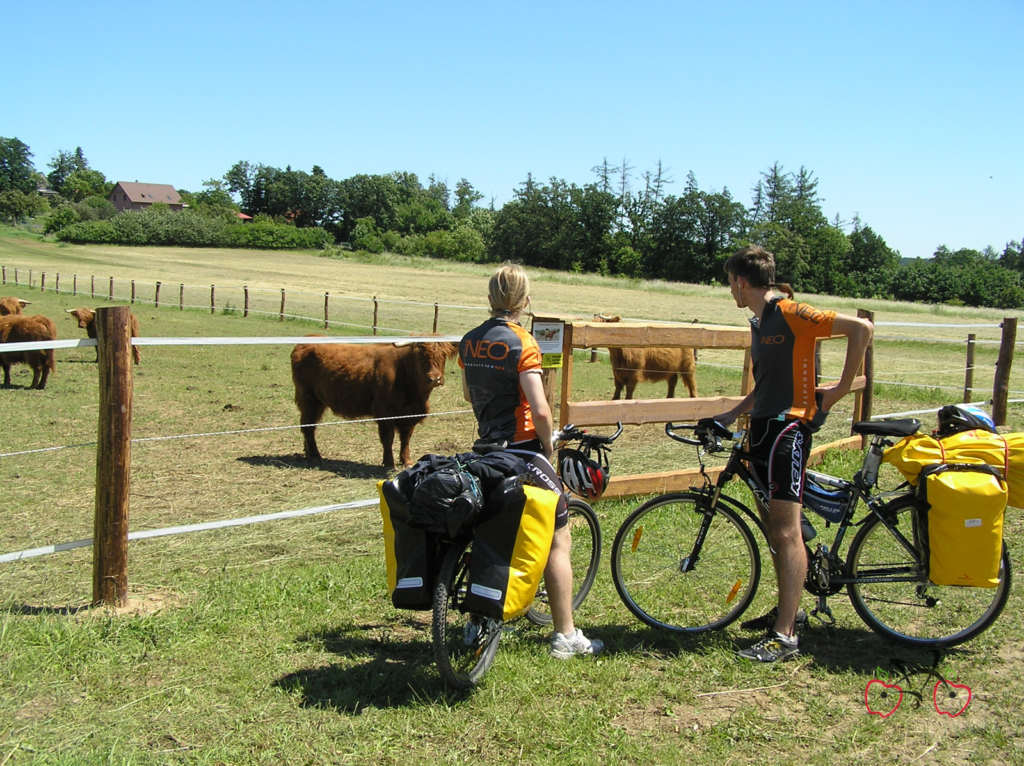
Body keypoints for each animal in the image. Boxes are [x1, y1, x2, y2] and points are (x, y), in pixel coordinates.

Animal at [288, 339, 456, 469]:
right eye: (421, 356)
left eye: (443, 355)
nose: (435, 378)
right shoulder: (384, 413)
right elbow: (388, 439)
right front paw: (389, 463)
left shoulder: (410, 415)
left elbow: (406, 439)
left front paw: (406, 461)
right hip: (309, 399)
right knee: (308, 427)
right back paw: (316, 455)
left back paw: (309, 453)